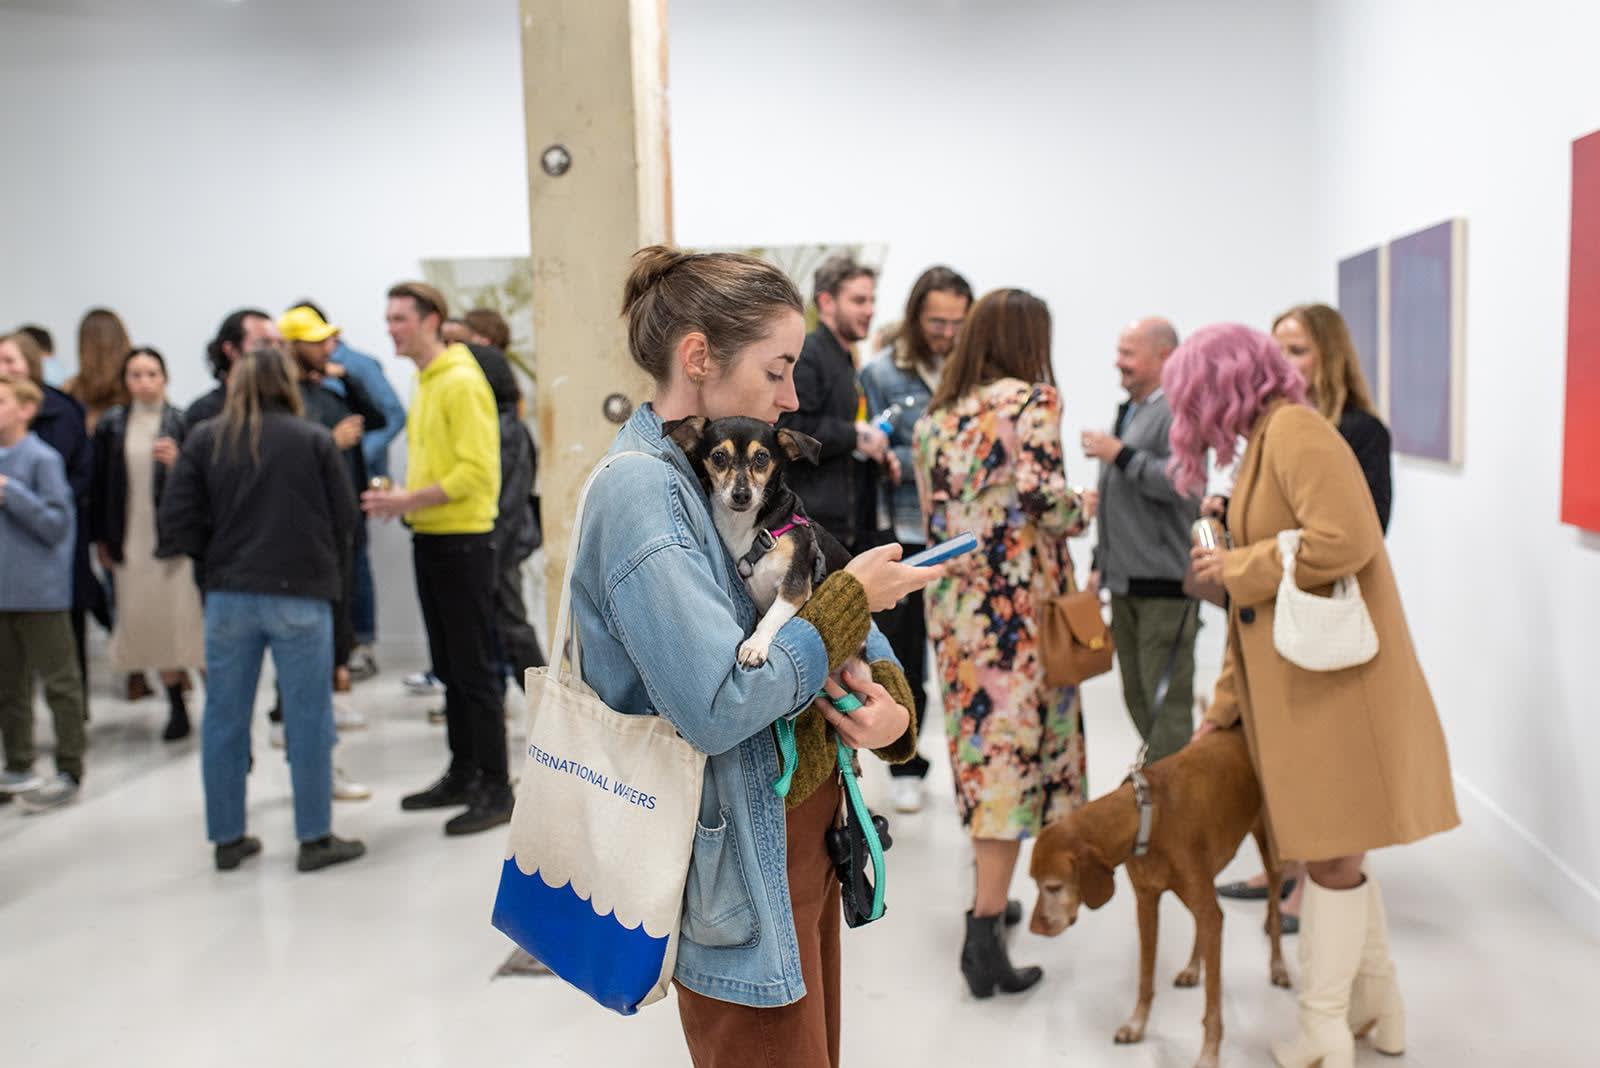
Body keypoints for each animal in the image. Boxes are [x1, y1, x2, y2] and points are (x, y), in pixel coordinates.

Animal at [659, 415, 851, 668]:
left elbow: (770, 618)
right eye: (718, 456)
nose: (741, 494)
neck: (745, 526)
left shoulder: (795, 587)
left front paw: (754, 646)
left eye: (761, 457)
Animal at [1030, 725, 1292, 1068]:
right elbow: (1145, 977)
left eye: (1053, 886)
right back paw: (1193, 967)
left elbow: (1212, 1004)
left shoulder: (1202, 905)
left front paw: (1209, 1054)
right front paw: (1137, 1025)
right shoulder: (1146, 903)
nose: (1034, 929)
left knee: (1273, 909)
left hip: (1271, 854)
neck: (1149, 818)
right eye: (1034, 883)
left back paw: (1278, 967)